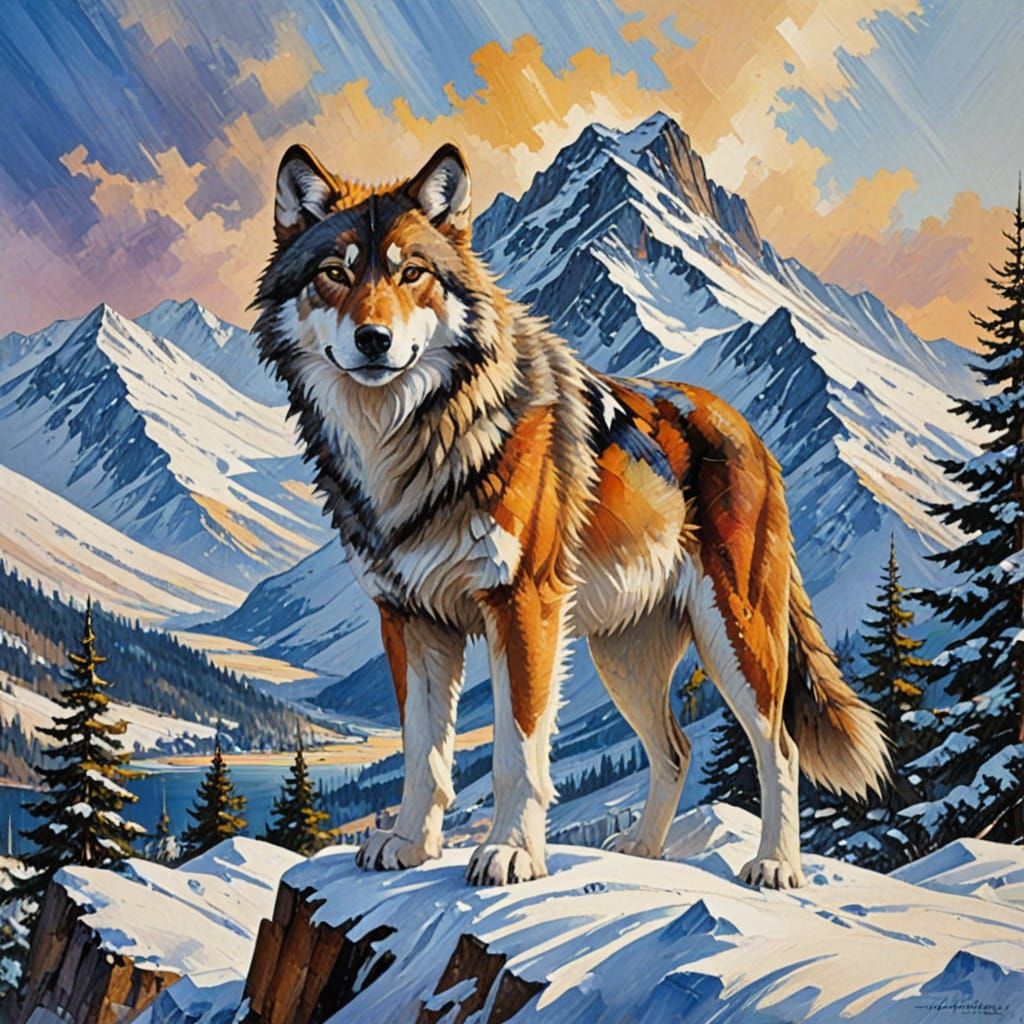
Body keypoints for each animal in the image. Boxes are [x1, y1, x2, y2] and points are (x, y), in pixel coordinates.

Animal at [254, 141, 889, 889]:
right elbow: (423, 755)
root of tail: (744, 426)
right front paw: (409, 845)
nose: (374, 339)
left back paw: (775, 865)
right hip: (621, 655)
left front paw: (511, 853)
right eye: (335, 274)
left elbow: (516, 754)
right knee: (676, 748)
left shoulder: (522, 604)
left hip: (735, 633)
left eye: (412, 274)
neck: (408, 441)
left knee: (779, 746)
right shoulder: (410, 620)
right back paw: (642, 852)